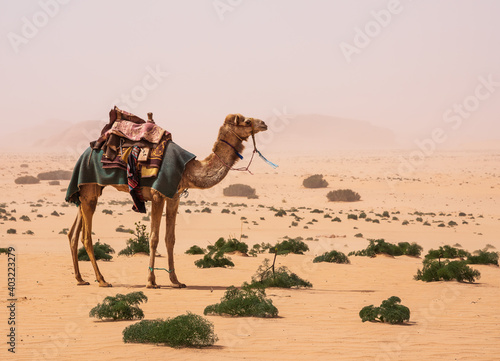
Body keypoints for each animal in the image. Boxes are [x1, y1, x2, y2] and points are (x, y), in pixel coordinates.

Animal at [68, 114, 268, 288]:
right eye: (247, 121)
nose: (264, 123)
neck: (188, 170)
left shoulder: (174, 197)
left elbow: (170, 238)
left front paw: (176, 281)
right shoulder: (157, 195)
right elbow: (154, 238)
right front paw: (151, 281)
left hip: (86, 192)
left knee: (73, 233)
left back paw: (80, 279)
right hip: (90, 189)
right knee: (86, 236)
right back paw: (102, 280)